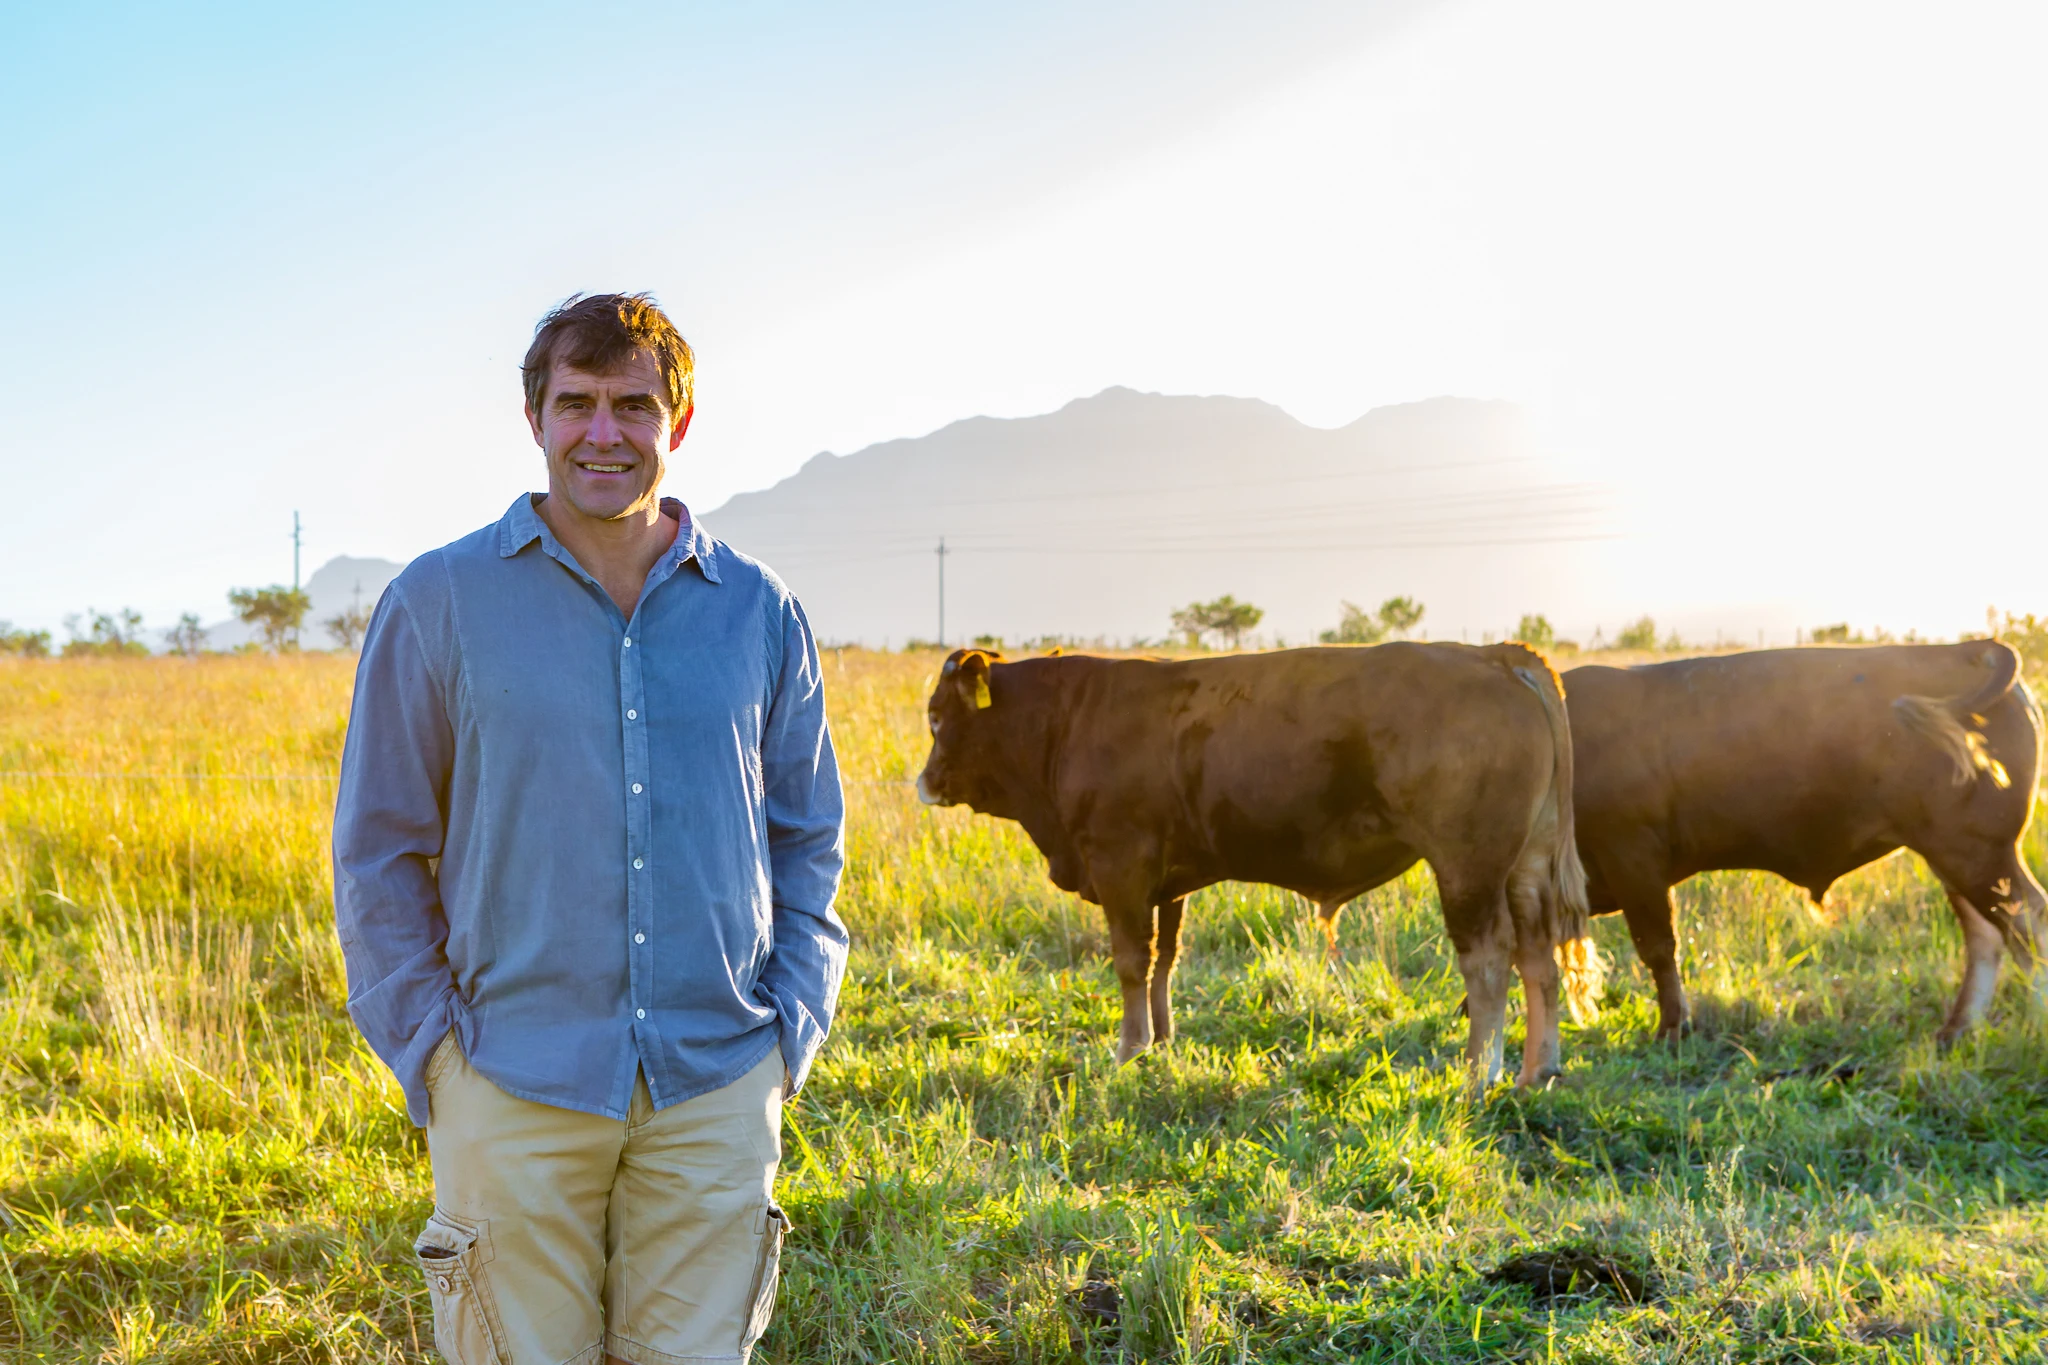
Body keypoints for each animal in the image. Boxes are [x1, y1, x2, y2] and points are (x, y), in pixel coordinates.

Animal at [921, 642, 1605, 1088]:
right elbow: (1164, 962)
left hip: (1467, 868)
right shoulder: (1167, 883)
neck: (1067, 721)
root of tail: (1492, 653)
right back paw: (1536, 1070)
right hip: (1526, 866)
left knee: (1488, 962)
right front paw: (1162, 1043)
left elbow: (1130, 964)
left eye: (935, 716)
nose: (924, 782)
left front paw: (1129, 1051)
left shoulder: (1122, 866)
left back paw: (1477, 1076)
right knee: (1539, 956)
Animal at [1564, 646, 2031, 1039]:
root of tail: (1969, 648)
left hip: (1977, 850)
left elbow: (1658, 950)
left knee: (2026, 922)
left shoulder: (1633, 860)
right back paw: (1957, 1031)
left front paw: (1671, 1029)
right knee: (1987, 934)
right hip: (1955, 854)